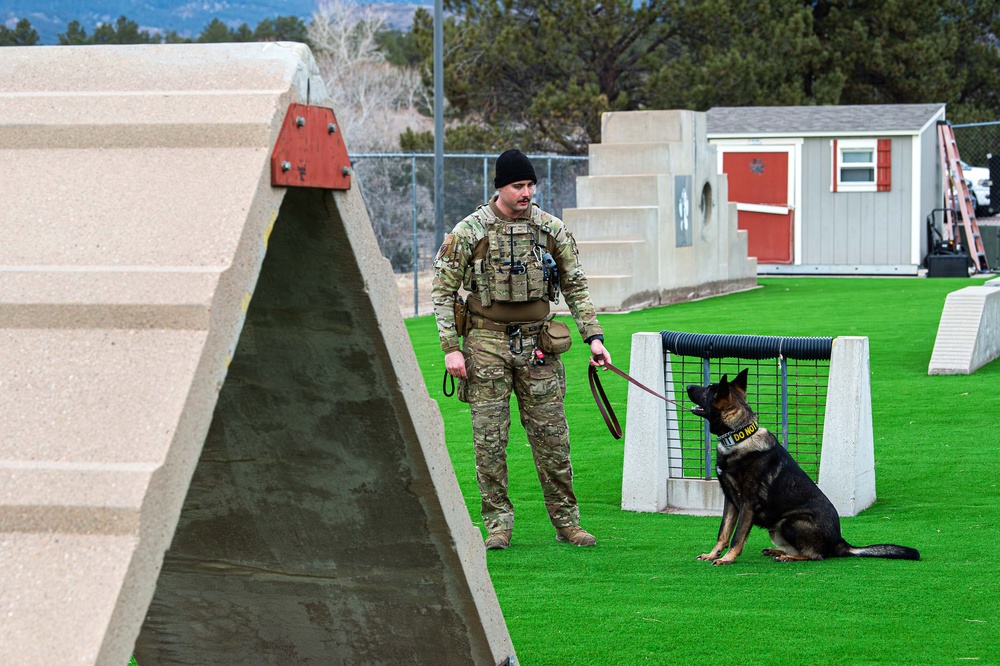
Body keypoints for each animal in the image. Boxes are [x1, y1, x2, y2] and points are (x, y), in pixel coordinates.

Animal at [684, 366, 916, 564]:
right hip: (776, 529)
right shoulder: (731, 501)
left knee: (816, 555)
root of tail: (839, 542)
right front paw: (713, 554)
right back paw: (777, 551)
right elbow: (723, 532)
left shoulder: (747, 504)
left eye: (708, 390)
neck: (739, 436)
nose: (687, 386)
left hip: (791, 521)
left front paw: (727, 558)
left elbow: (737, 536)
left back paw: (787, 556)